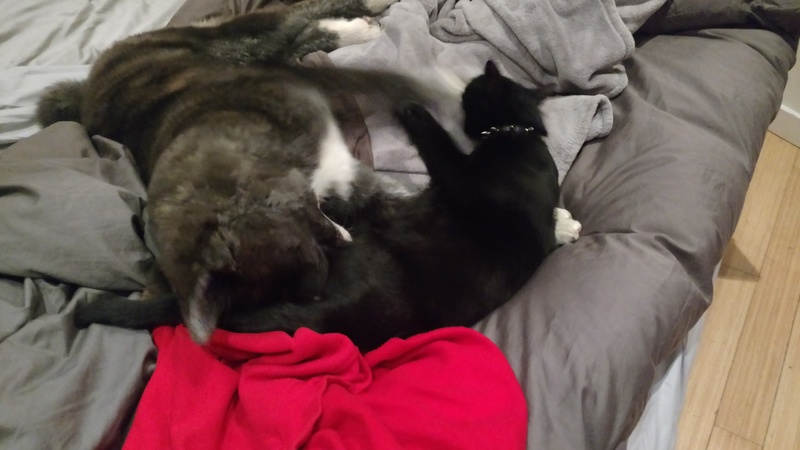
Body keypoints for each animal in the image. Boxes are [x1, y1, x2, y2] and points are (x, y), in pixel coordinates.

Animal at [38, 0, 457, 343]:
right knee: (294, 41)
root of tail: (86, 86)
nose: (343, 248)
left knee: (291, 18)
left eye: (306, 249)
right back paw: (354, 29)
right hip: (258, 53)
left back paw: (365, 16)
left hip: (232, 39)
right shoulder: (345, 184)